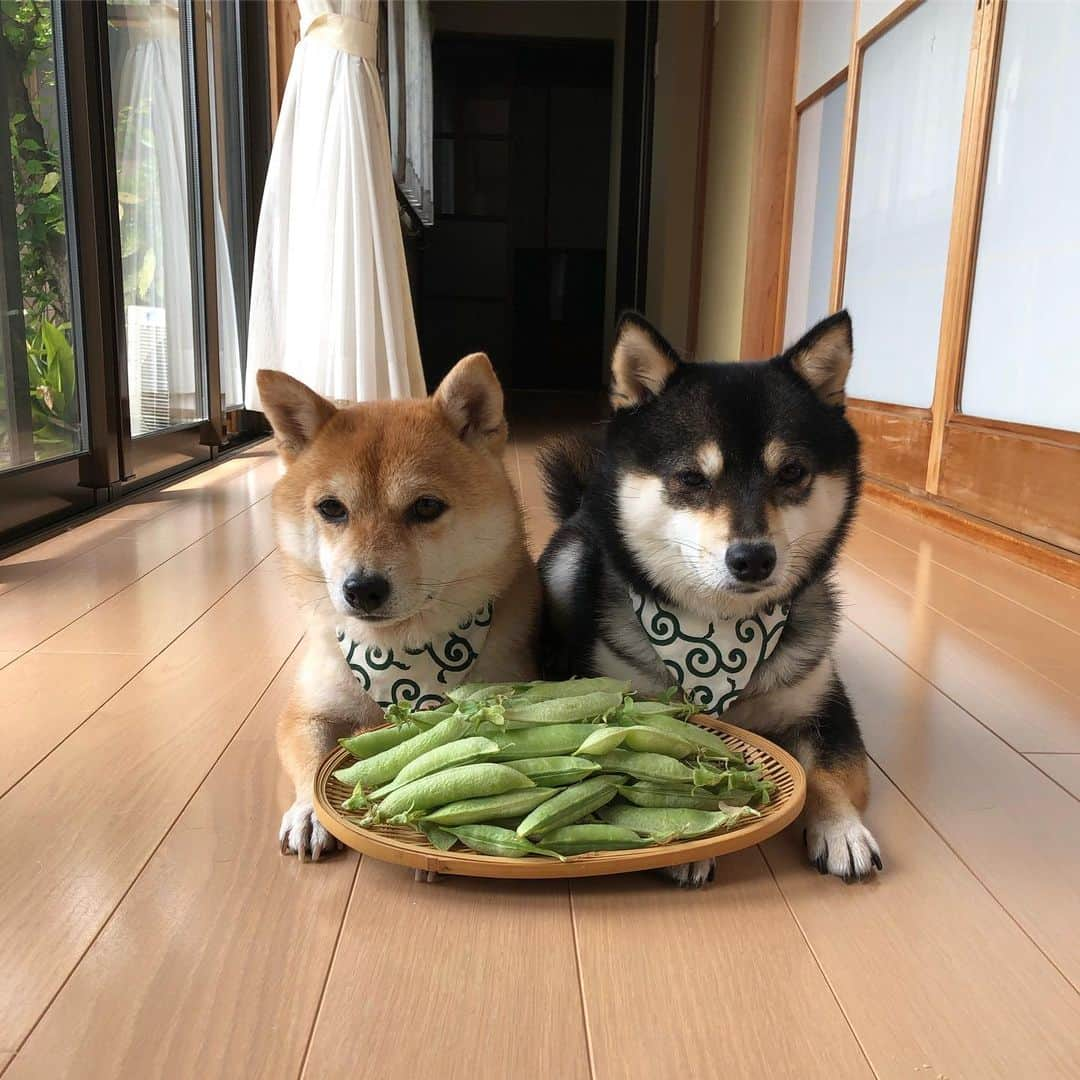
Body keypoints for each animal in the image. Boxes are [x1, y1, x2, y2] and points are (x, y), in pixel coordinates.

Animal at [257, 354, 535, 859]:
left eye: (425, 506)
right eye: (331, 508)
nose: (362, 589)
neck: (395, 655)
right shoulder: (307, 711)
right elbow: (312, 758)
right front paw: (310, 811)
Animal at [535, 311, 881, 885]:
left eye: (792, 472)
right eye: (691, 478)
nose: (753, 558)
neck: (722, 632)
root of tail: (582, 504)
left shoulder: (824, 703)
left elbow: (831, 772)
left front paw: (841, 830)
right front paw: (693, 845)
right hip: (568, 564)